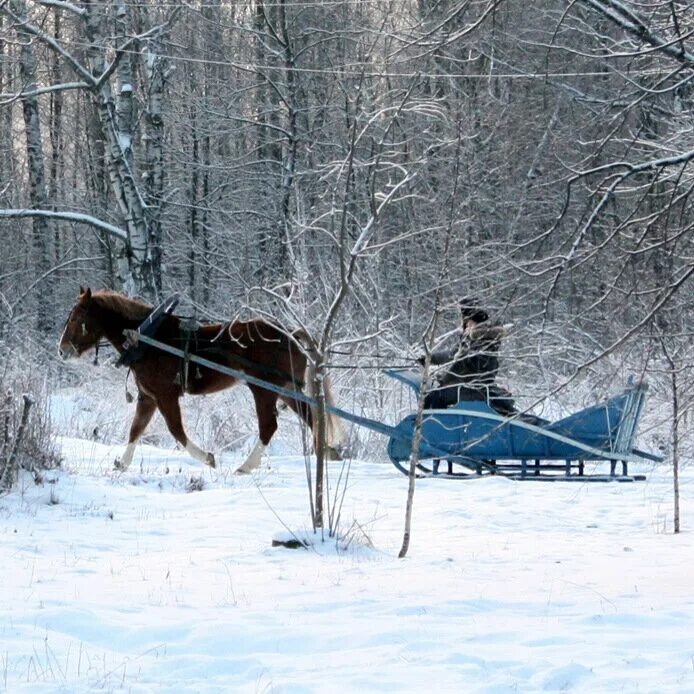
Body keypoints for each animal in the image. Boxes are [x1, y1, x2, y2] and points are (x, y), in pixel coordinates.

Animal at [58, 286, 346, 474]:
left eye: (76, 317)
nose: (61, 350)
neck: (147, 338)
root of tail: (290, 333)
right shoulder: (148, 397)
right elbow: (136, 429)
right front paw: (122, 463)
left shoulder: (165, 395)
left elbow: (176, 430)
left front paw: (208, 458)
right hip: (286, 387)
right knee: (311, 417)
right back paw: (326, 451)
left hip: (263, 389)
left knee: (269, 426)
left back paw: (246, 466)